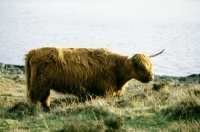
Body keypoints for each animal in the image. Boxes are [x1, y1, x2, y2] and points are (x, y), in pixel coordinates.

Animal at [24, 47, 164, 110]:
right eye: (141, 66)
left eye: (150, 65)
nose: (151, 77)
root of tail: (33, 51)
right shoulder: (106, 91)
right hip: (39, 84)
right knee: (34, 97)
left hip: (44, 85)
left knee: (44, 98)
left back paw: (47, 109)